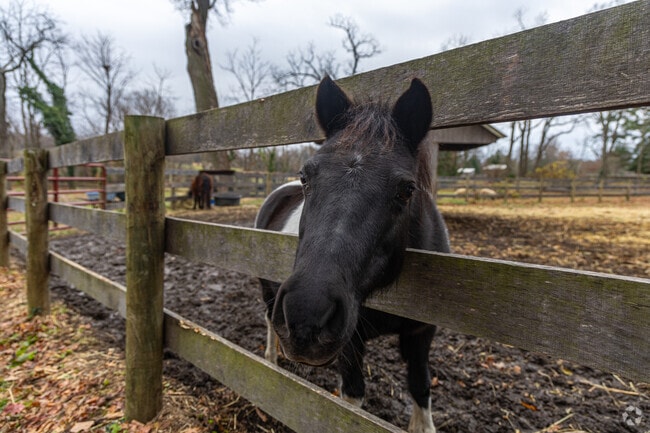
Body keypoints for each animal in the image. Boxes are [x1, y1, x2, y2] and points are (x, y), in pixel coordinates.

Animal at [254, 76, 450, 433]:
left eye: (407, 190)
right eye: (306, 177)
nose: (306, 315)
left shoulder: (421, 334)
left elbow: (420, 386)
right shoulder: (350, 342)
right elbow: (352, 402)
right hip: (268, 291)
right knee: (268, 321)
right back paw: (271, 362)